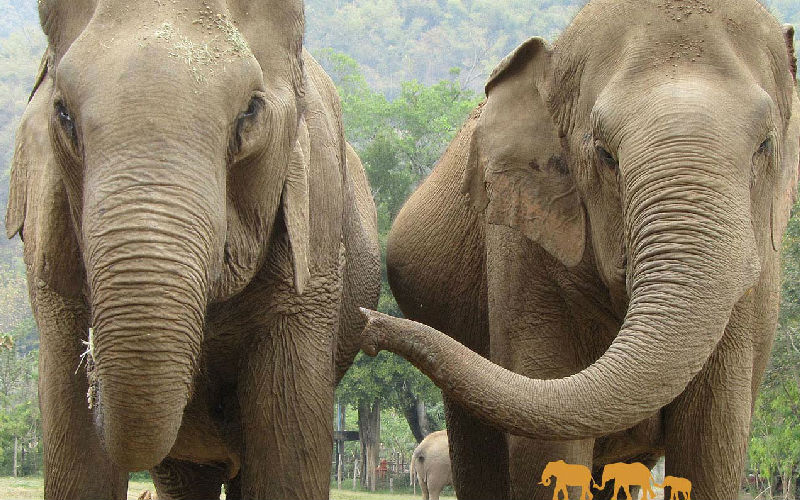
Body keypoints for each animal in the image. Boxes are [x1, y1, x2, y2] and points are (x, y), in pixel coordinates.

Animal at [5, 1, 380, 498]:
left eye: (250, 112)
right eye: (63, 113)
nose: (93, 377)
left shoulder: (315, 251)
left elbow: (285, 465)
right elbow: (80, 461)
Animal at [361, 0, 800, 499]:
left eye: (765, 145)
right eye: (605, 154)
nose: (367, 325)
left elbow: (711, 443)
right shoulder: (523, 254)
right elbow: (547, 449)